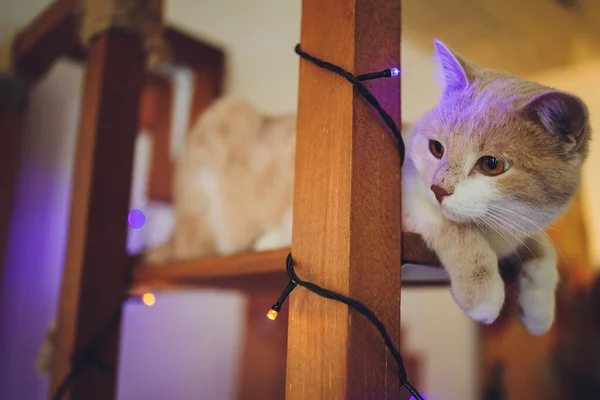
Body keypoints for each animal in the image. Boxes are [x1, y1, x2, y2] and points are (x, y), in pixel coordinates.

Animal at [404, 40, 592, 334]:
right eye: (436, 148)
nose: (438, 189)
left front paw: (538, 309)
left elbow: (543, 248)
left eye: (491, 164)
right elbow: (456, 228)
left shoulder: (522, 226)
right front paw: (481, 293)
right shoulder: (412, 194)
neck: (492, 230)